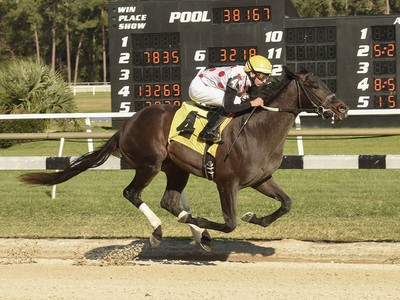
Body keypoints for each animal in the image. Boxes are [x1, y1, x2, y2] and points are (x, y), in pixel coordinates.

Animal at [20, 67, 348, 251]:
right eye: (314, 85)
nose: (342, 109)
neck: (257, 128)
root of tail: (126, 125)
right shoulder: (226, 182)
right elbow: (229, 223)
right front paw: (208, 224)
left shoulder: (261, 179)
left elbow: (286, 204)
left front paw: (254, 217)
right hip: (149, 163)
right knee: (132, 193)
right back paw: (160, 231)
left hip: (176, 169)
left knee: (170, 201)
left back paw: (196, 233)